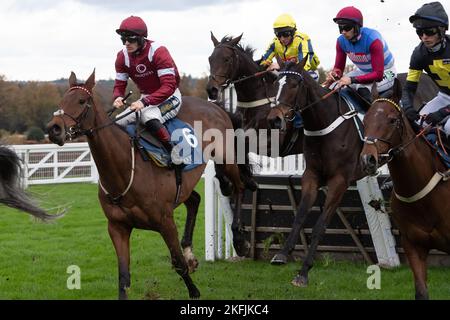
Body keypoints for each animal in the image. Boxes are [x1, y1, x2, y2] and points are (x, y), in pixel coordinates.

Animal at [45, 70, 246, 300]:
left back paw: (240, 240)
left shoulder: (166, 222)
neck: (124, 172)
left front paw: (194, 290)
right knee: (195, 200)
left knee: (238, 187)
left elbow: (177, 263)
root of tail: (215, 106)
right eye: (61, 101)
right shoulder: (117, 227)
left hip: (226, 158)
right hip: (185, 185)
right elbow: (123, 277)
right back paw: (190, 252)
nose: (54, 129)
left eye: (81, 101)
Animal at [266, 58, 438, 286]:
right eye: (275, 84)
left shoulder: (340, 180)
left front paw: (303, 272)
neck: (324, 124)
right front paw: (282, 254)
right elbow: (300, 215)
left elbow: (320, 225)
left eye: (294, 85)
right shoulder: (311, 175)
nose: (274, 119)